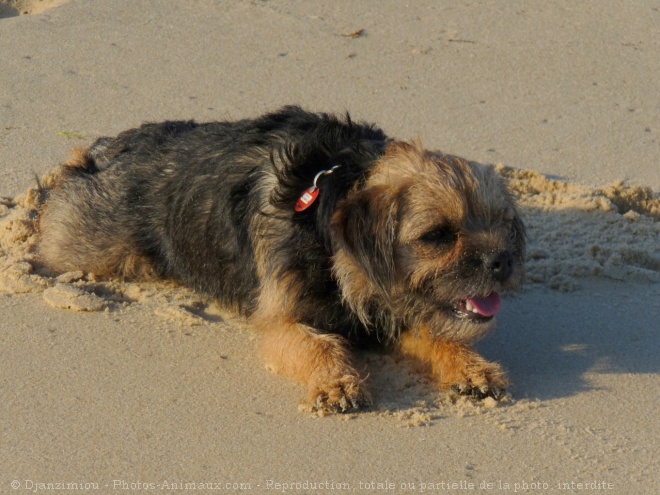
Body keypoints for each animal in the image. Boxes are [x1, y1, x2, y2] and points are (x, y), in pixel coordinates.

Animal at [37, 106, 524, 412]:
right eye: (438, 235)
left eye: (502, 223)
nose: (502, 262)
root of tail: (106, 150)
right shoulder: (280, 323)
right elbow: (317, 344)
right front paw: (336, 381)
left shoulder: (396, 312)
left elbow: (436, 333)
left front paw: (471, 368)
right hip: (82, 244)